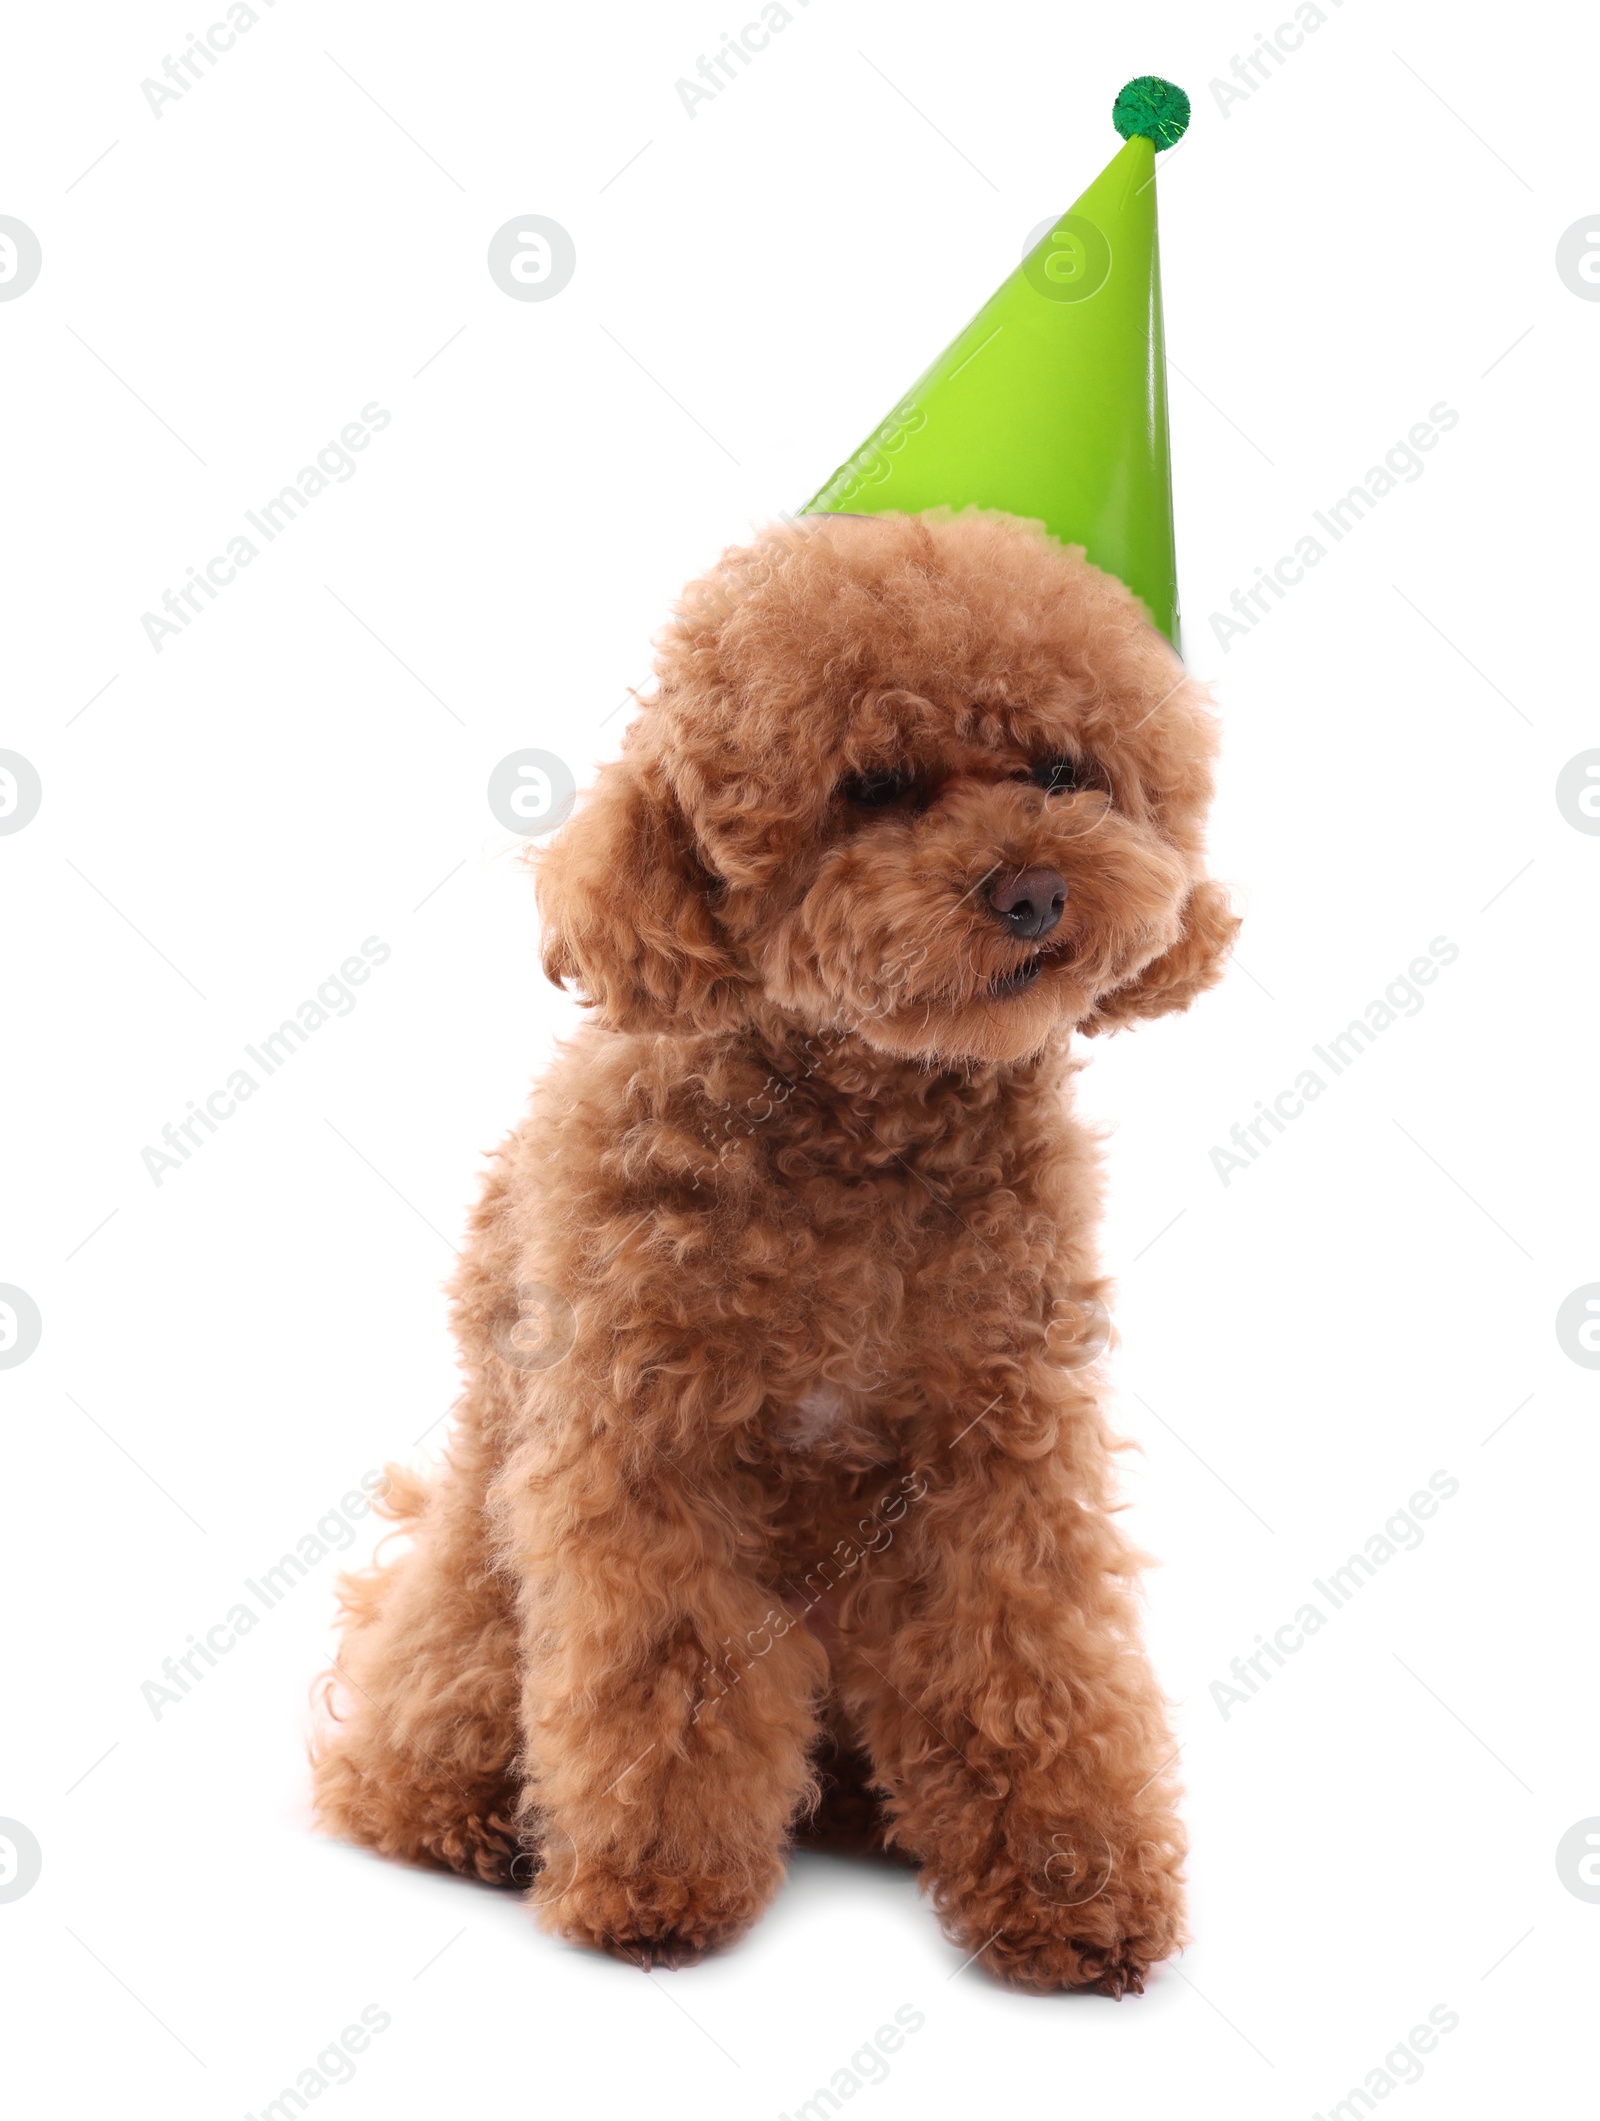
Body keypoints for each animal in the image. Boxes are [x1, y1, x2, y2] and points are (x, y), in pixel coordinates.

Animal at [311, 504, 1230, 1993]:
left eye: (1062, 772)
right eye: (877, 787)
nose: (1036, 891)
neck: (862, 1134)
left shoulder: (1001, 1453)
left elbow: (1033, 1667)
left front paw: (1071, 1892)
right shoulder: (641, 1450)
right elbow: (667, 1679)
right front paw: (654, 1889)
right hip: (472, 1597)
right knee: (423, 1723)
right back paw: (468, 1818)